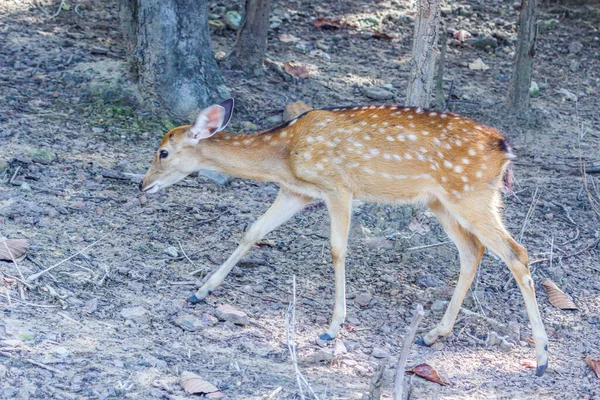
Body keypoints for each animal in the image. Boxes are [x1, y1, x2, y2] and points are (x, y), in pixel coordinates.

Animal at [141, 99, 548, 376]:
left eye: (163, 152)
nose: (142, 185)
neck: (284, 155)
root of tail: (504, 147)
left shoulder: (337, 186)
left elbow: (338, 249)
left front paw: (331, 328)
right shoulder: (297, 192)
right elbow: (252, 230)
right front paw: (200, 291)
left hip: (470, 194)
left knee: (517, 253)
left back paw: (542, 357)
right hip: (442, 201)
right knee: (472, 251)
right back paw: (433, 334)